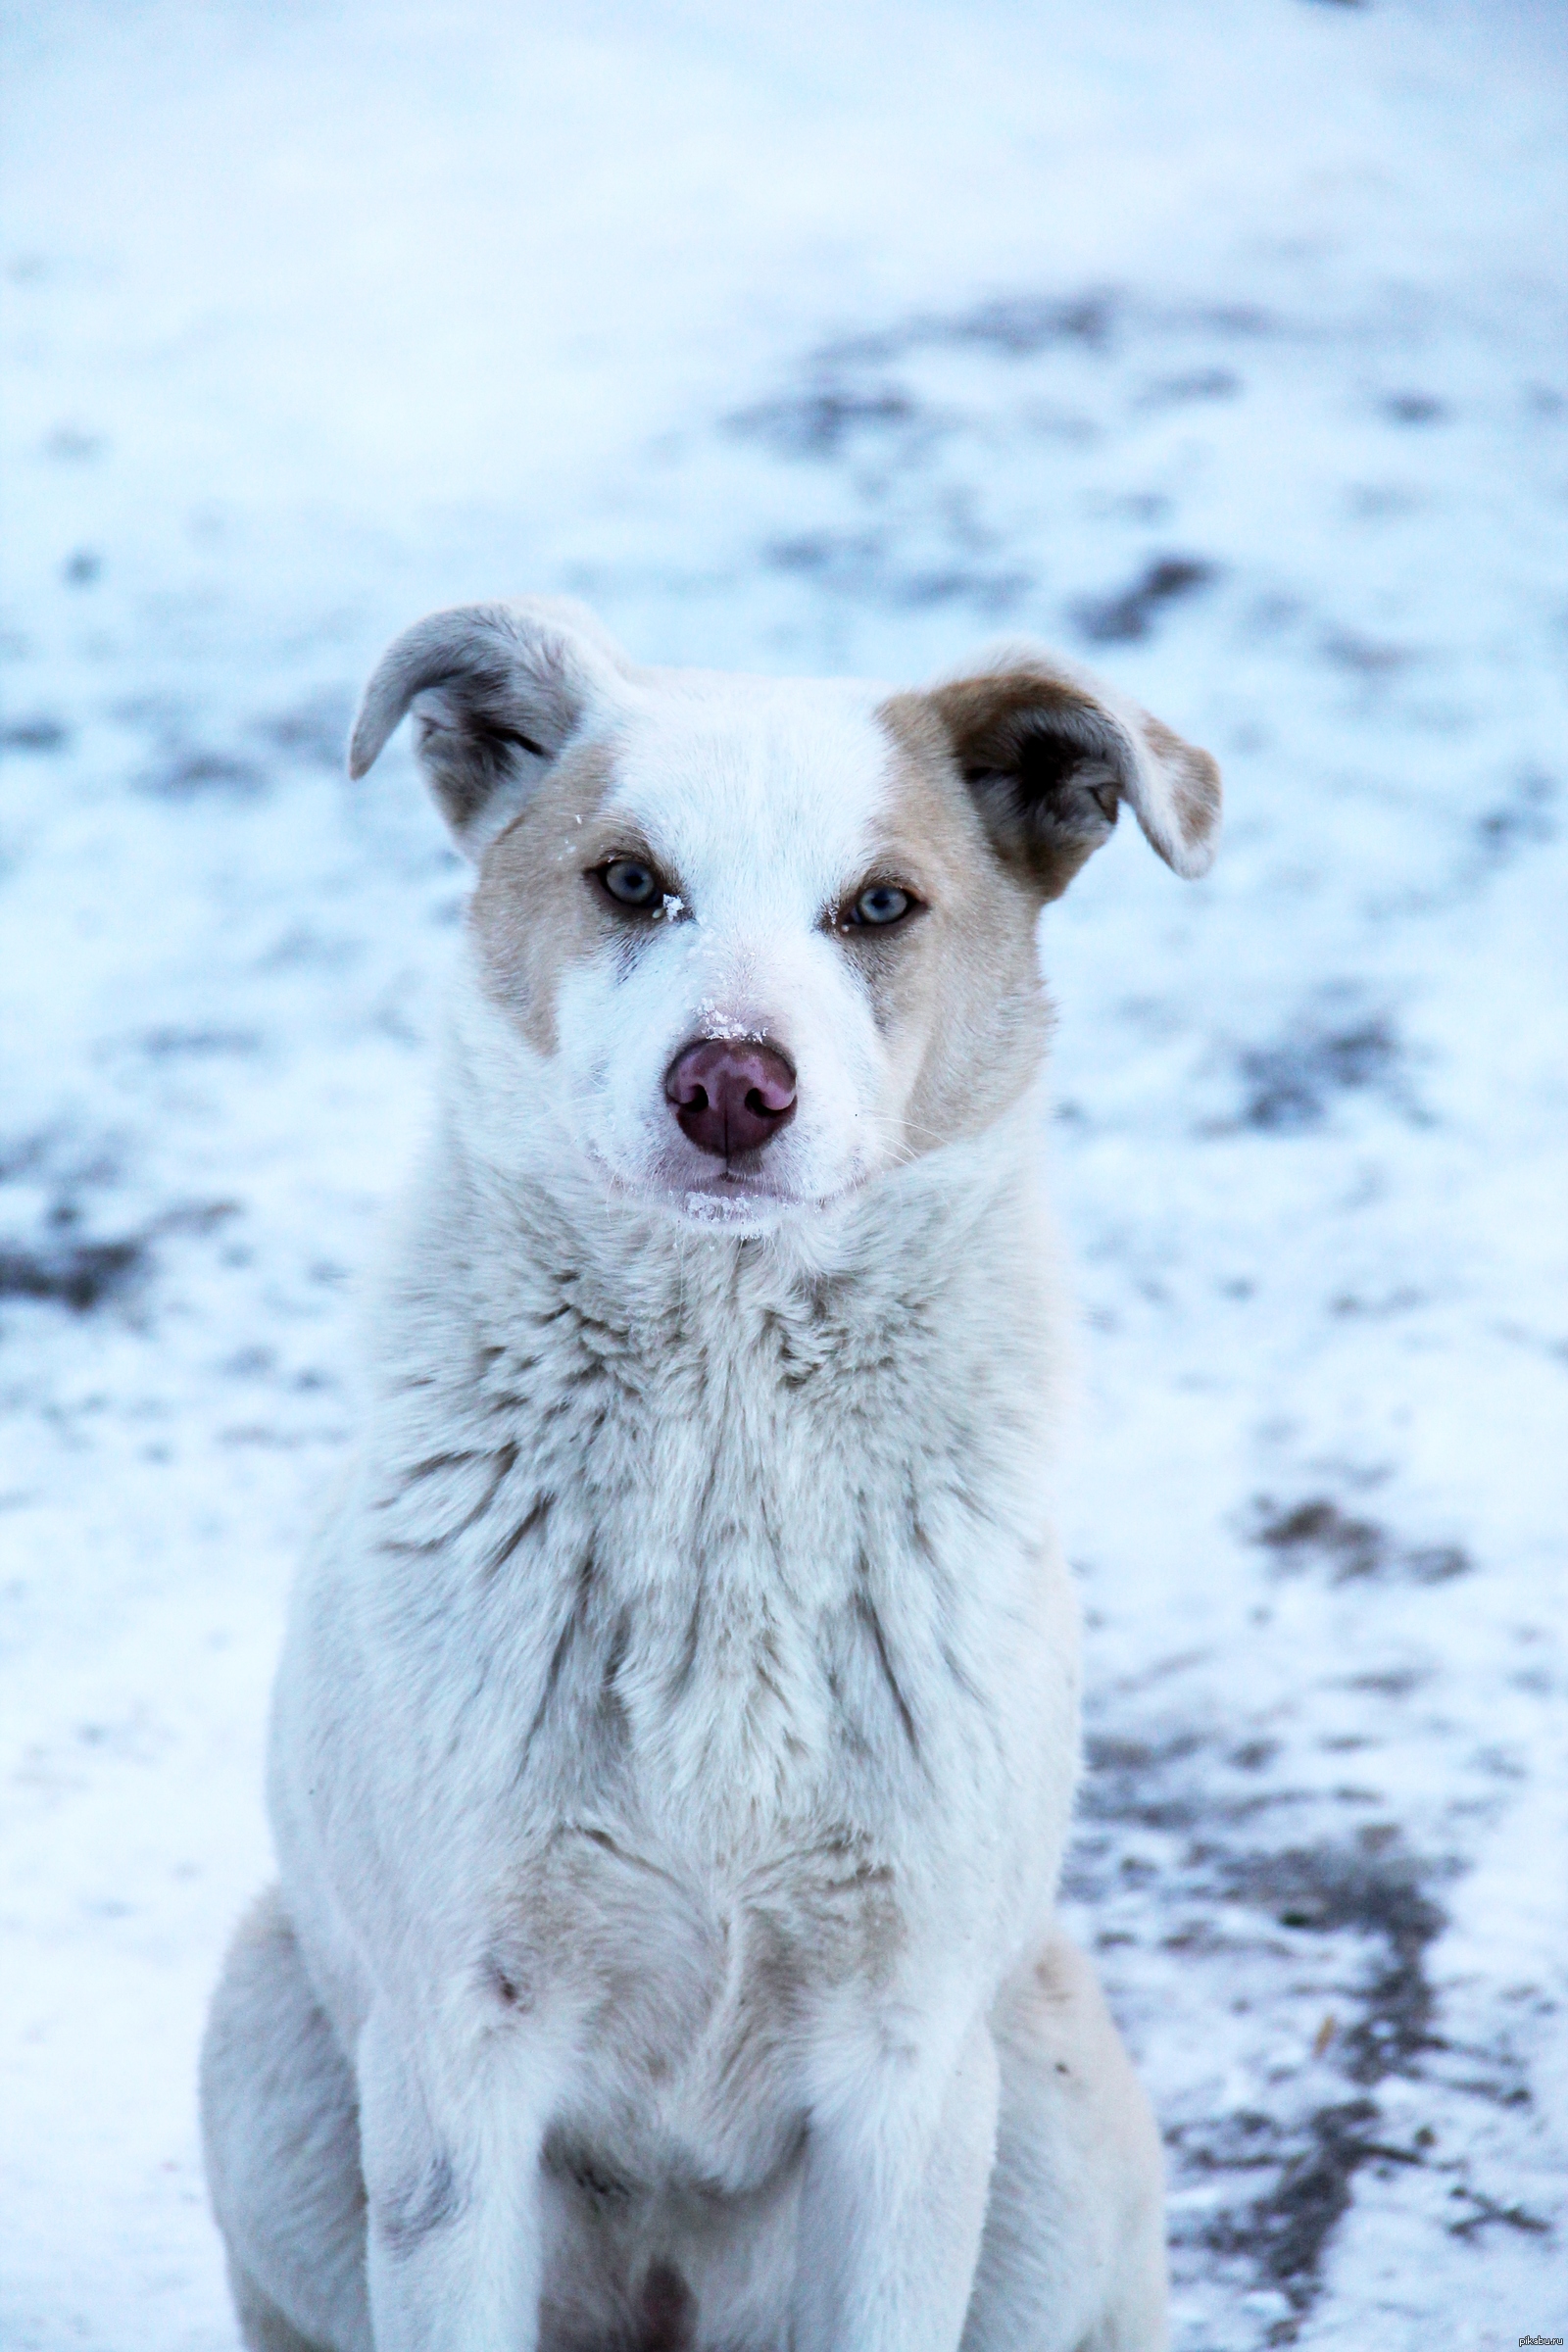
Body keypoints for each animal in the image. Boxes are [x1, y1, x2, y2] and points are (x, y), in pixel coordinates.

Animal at [202, 597, 1222, 2342]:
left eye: (879, 906)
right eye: (630, 881)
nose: (732, 1085)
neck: (727, 1438)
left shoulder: (904, 2075)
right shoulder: (459, 2067)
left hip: (1050, 2121)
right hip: (268, 2049)